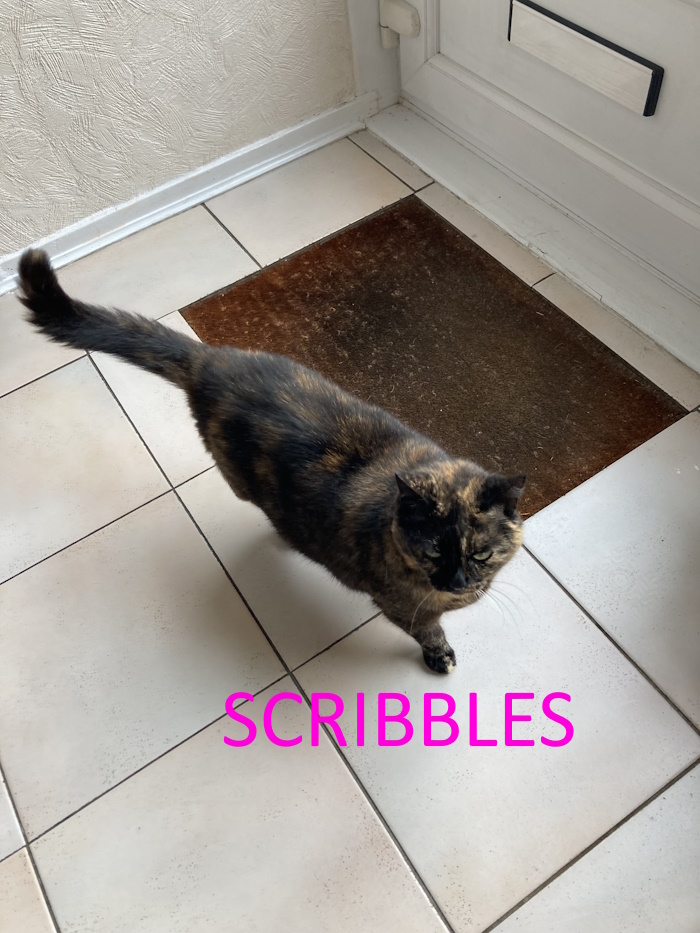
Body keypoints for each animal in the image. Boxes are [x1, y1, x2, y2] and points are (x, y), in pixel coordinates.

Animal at [18, 248, 525, 674]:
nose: (459, 581)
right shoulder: (401, 606)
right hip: (238, 478)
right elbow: (427, 630)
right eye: (434, 551)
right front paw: (439, 655)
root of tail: (211, 359)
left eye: (480, 553)